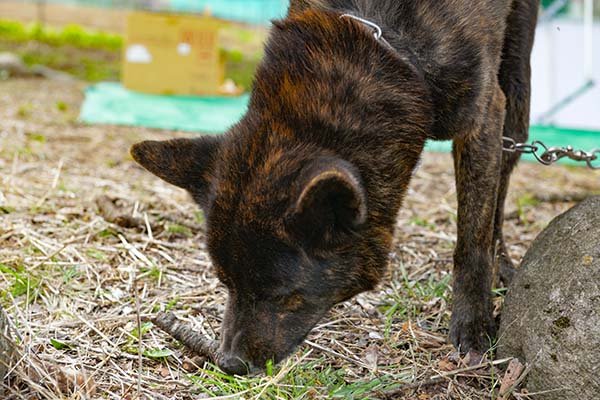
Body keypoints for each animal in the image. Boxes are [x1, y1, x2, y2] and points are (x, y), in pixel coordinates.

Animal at [131, 0, 540, 376]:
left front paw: (473, 324)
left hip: (516, 94)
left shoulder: (483, 117)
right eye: (225, 283)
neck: (380, 39)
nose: (231, 364)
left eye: (281, 295)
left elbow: (472, 239)